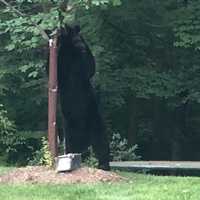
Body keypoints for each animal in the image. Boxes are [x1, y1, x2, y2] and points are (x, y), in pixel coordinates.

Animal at [56, 24, 109, 170]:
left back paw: (104, 164)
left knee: (101, 142)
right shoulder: (65, 71)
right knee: (71, 143)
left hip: (95, 120)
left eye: (79, 39)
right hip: (69, 127)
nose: (81, 46)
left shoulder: (82, 71)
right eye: (75, 40)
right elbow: (57, 68)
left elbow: (90, 67)